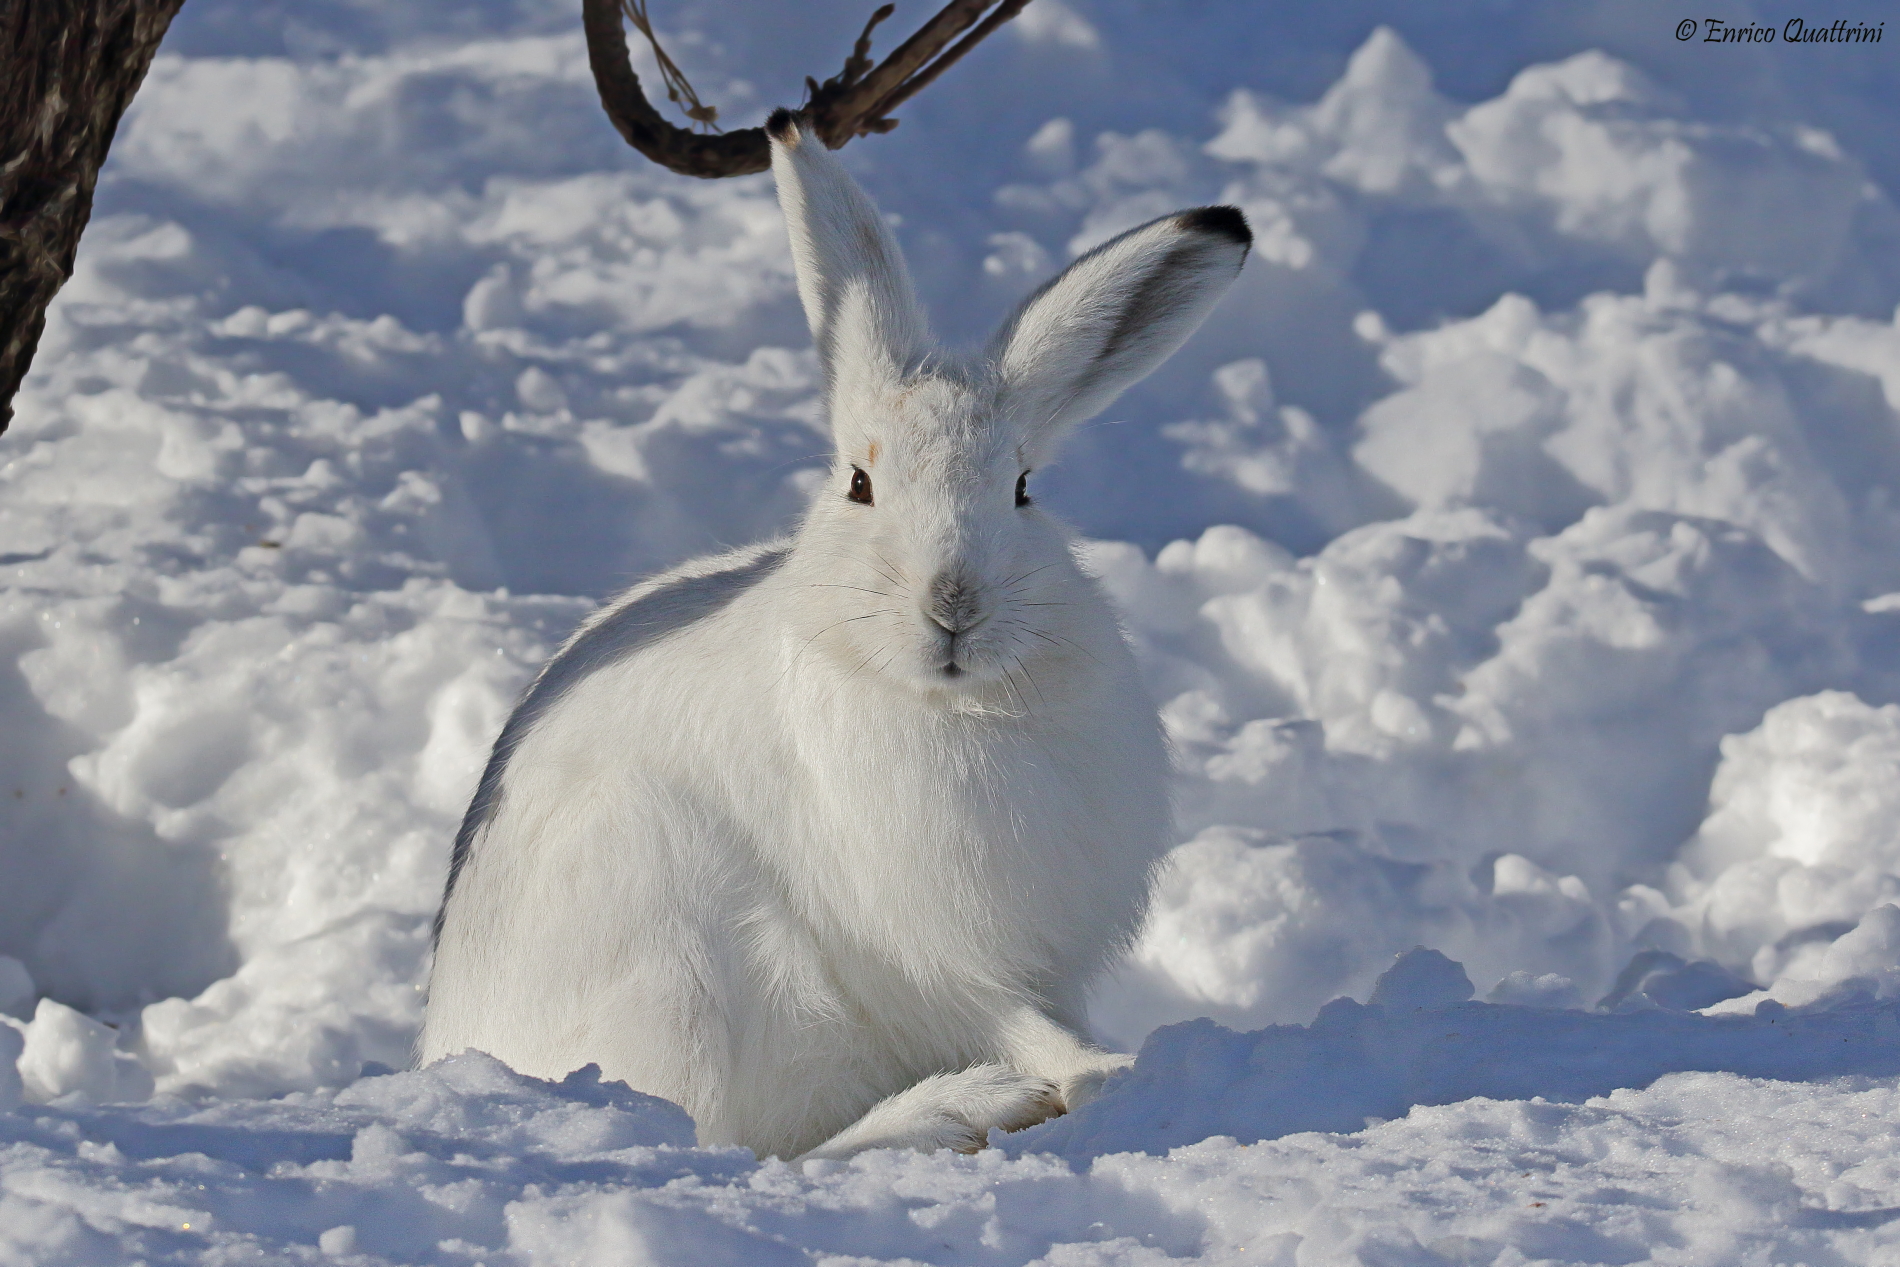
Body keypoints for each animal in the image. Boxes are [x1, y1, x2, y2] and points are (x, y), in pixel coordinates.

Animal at [421, 110, 1251, 1160]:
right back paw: (965, 1106)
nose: (954, 603)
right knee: (722, 1145)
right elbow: (1015, 1022)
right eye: (860, 484)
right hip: (662, 946)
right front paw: (1103, 1073)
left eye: (1024, 487)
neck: (950, 705)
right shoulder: (917, 946)